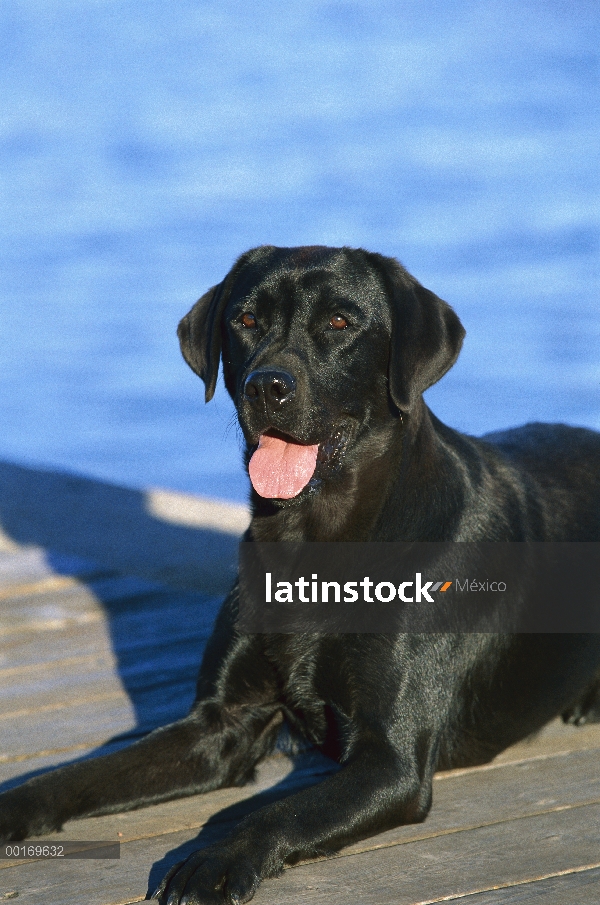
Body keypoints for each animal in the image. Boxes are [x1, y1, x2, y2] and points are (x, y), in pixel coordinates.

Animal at [1, 244, 600, 900]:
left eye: (339, 322)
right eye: (245, 321)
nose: (267, 386)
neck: (311, 541)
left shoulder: (391, 761)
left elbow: (279, 811)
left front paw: (214, 862)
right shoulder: (217, 726)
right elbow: (83, 771)